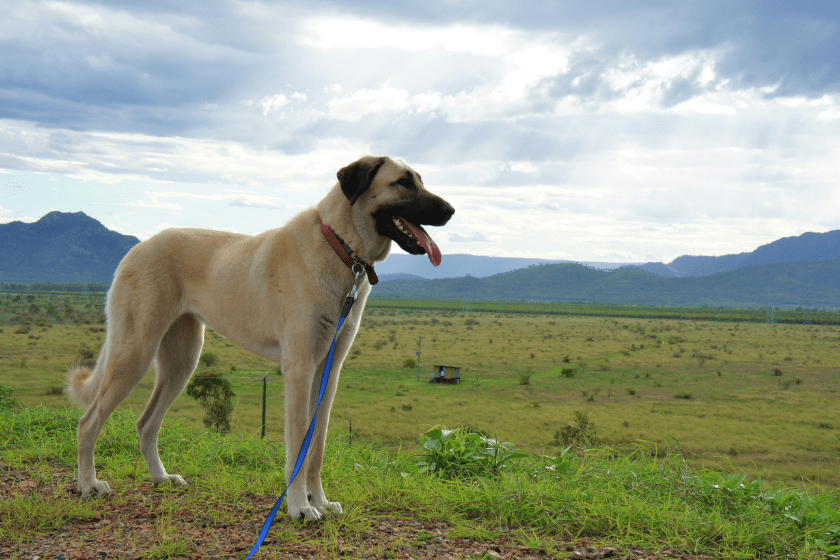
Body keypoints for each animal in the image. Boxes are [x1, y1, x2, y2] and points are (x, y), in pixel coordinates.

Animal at [68, 154, 456, 520]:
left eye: (420, 179)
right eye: (403, 182)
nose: (452, 211)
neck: (340, 244)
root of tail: (137, 248)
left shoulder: (327, 373)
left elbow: (316, 446)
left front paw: (320, 500)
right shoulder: (299, 368)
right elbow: (298, 445)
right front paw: (300, 507)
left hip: (182, 362)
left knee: (146, 423)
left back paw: (160, 478)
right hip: (135, 351)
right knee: (88, 423)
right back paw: (88, 484)